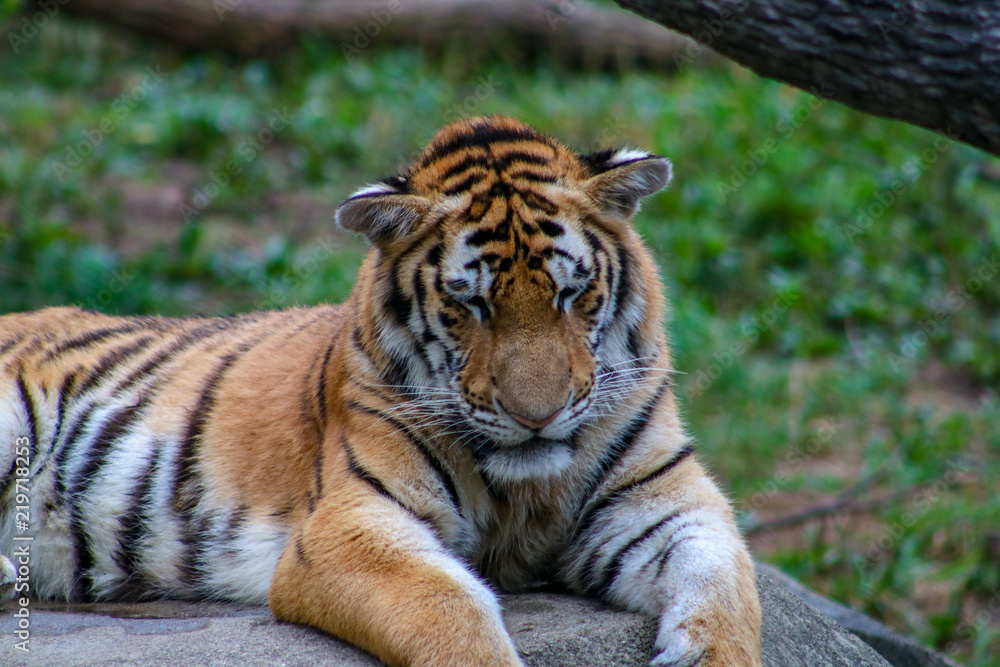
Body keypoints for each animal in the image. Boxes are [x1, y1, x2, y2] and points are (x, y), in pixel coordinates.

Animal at [0, 115, 761, 666]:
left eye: (572, 294)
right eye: (471, 303)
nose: (536, 417)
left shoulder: (665, 503)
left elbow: (730, 587)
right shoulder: (350, 524)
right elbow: (449, 608)